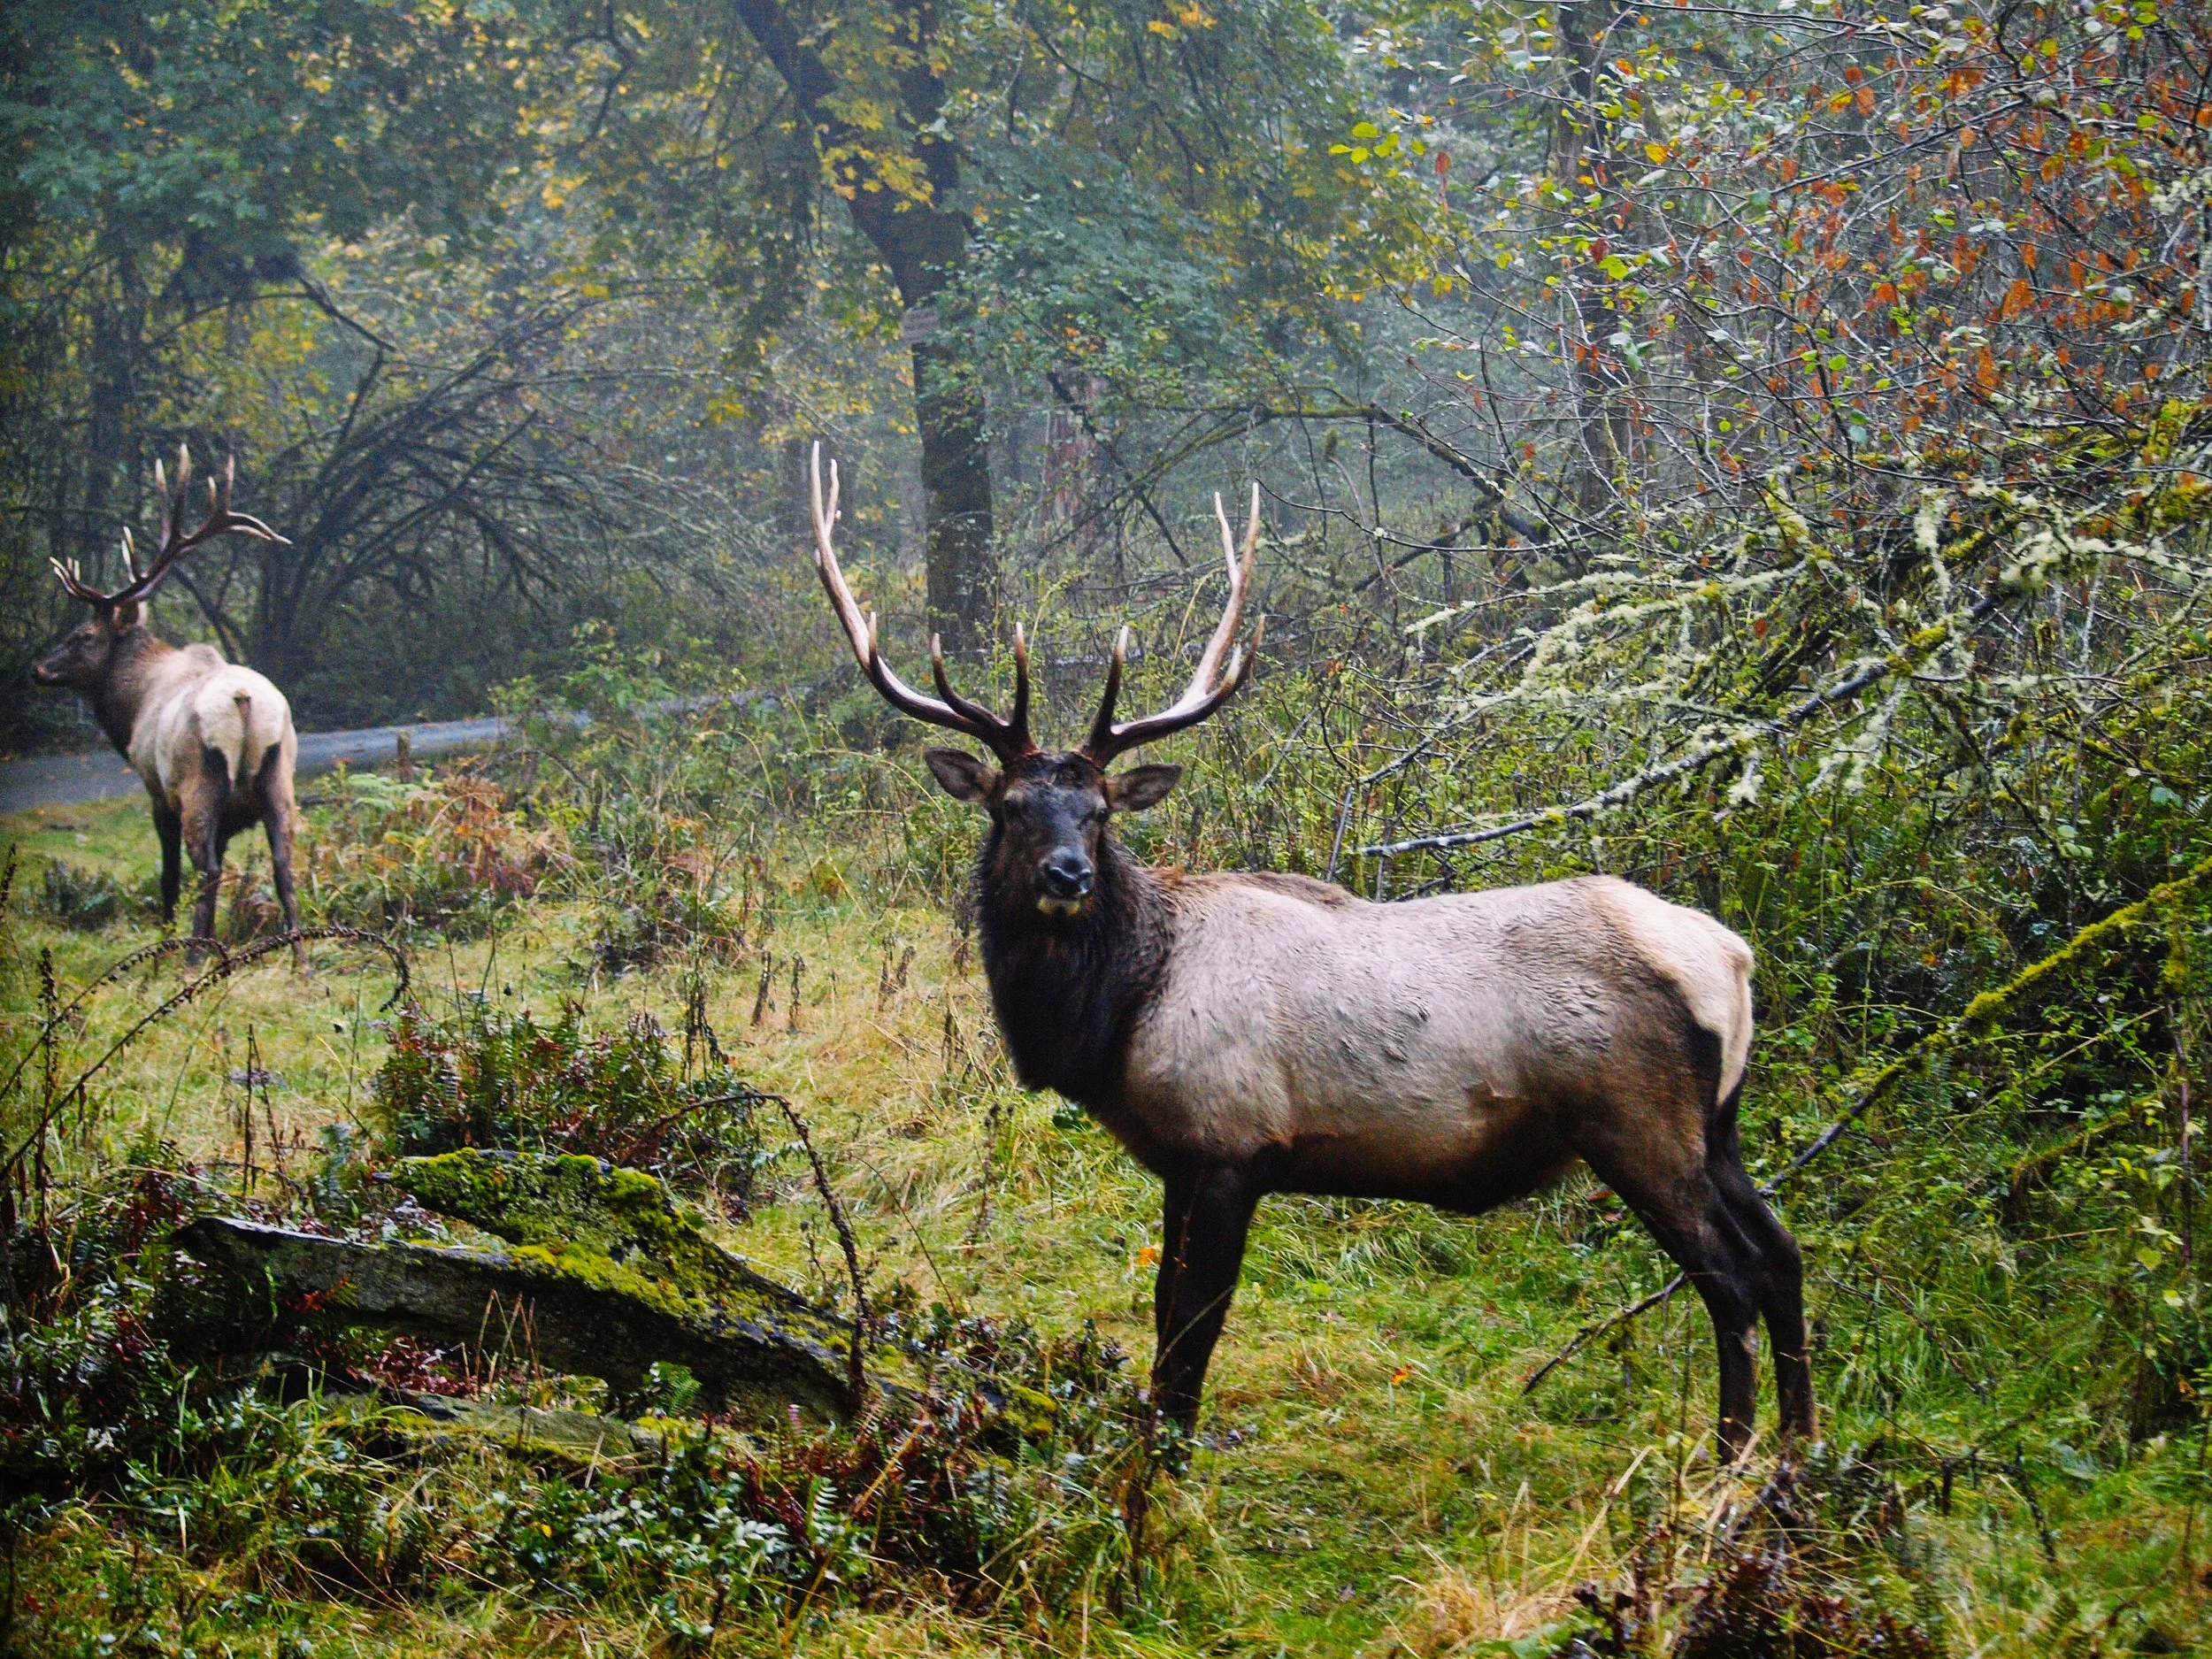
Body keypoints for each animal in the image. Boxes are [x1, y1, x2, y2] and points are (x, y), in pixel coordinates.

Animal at [31, 447, 304, 965]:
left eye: (82, 636)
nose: (38, 668)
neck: (133, 708)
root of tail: (244, 702)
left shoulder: (155, 789)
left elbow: (168, 876)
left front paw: (163, 948)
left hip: (199, 783)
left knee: (206, 869)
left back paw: (192, 960)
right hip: (278, 780)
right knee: (284, 865)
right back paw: (300, 964)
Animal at [806, 447, 1814, 1461]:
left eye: (1097, 814)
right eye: (1011, 808)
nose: (1067, 874)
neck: (1121, 1015)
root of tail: (1731, 958)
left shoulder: (1234, 1141)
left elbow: (1192, 1324)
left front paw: (1164, 1465)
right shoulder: (1181, 1159)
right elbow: (1163, 1310)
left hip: (1636, 1119)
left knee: (1729, 1274)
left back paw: (1728, 1458)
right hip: (1718, 1122)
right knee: (1783, 1254)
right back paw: (1798, 1454)